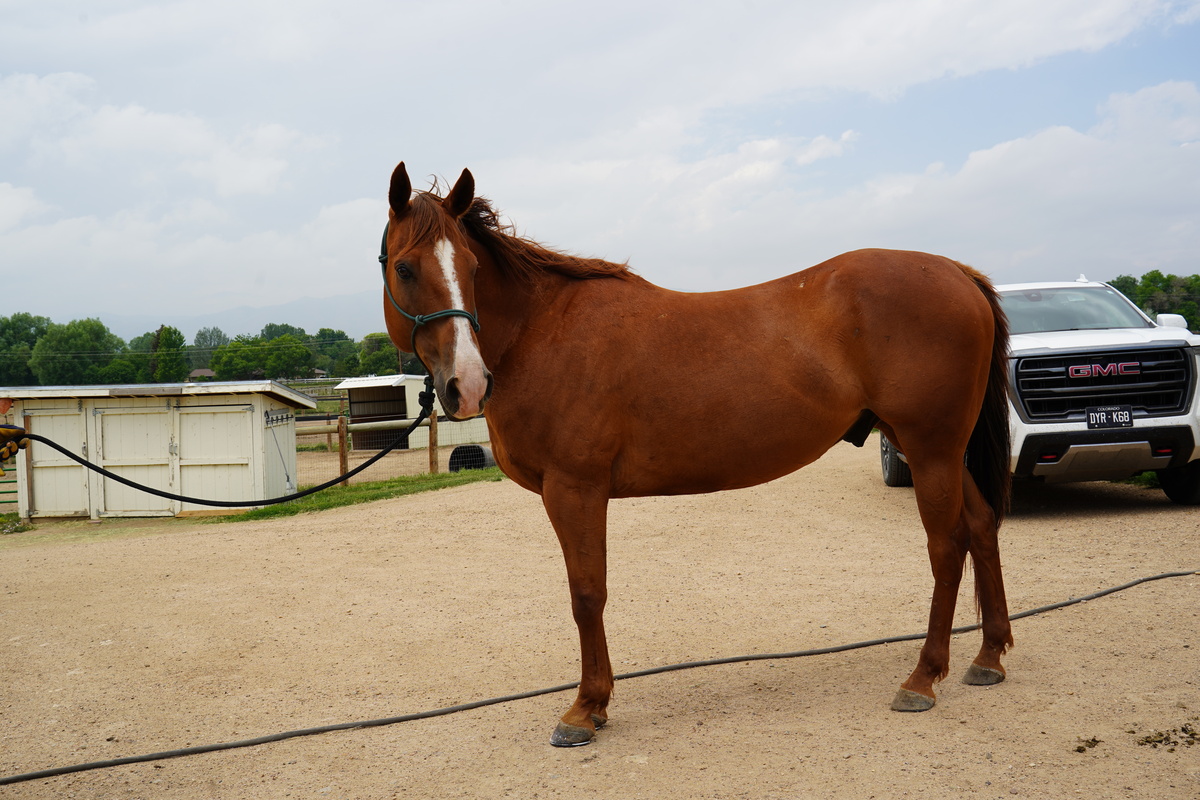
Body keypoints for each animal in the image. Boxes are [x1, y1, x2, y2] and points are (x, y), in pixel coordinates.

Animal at [379, 162, 1013, 747]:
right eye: (405, 268)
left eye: (471, 268)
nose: (466, 384)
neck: (542, 330)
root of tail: (957, 272)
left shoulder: (574, 488)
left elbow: (587, 593)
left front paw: (586, 708)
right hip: (935, 448)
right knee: (982, 526)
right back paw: (988, 657)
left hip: (930, 448)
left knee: (946, 546)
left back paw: (923, 679)